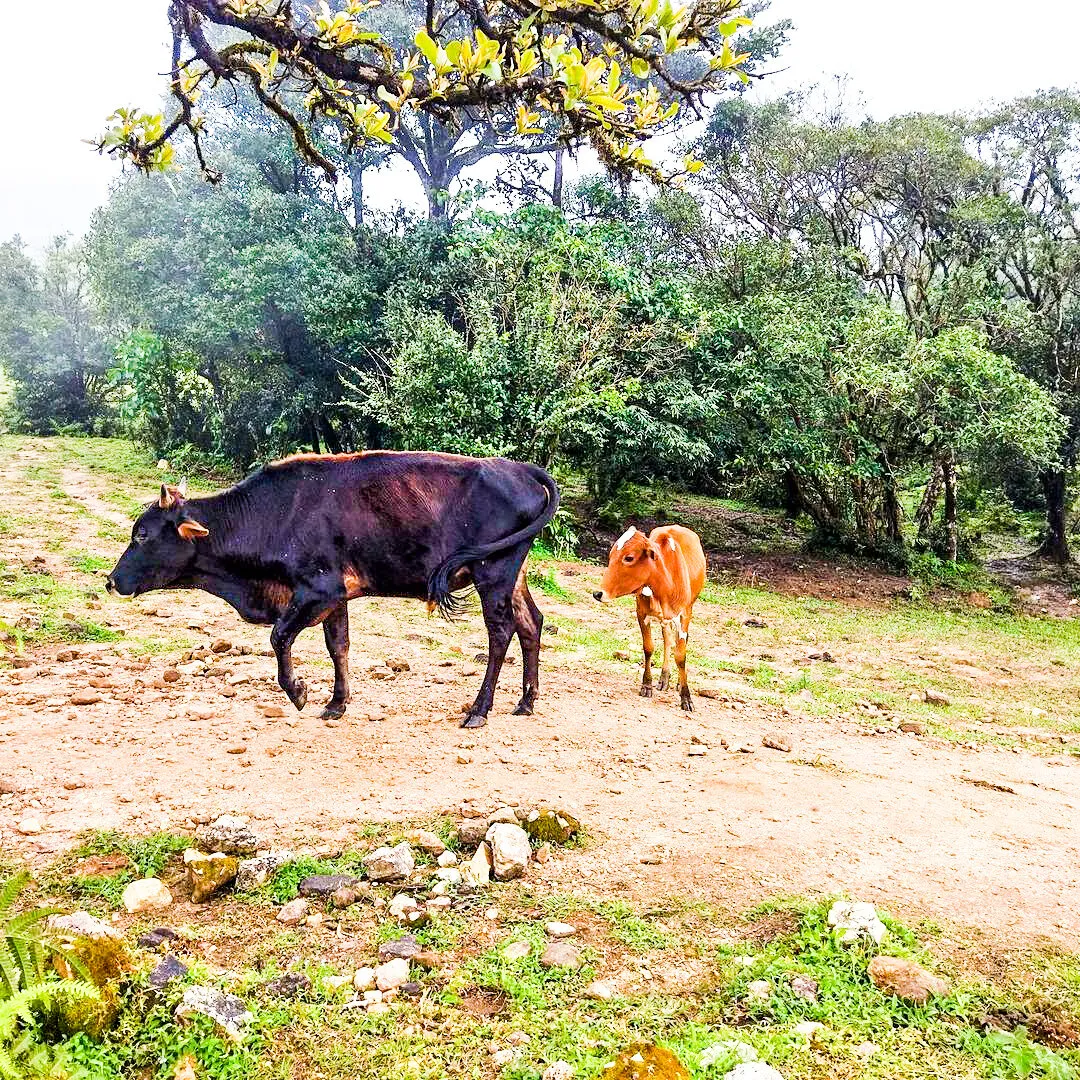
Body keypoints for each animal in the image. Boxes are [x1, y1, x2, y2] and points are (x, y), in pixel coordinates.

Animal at [105, 451, 559, 729]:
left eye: (142, 535)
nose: (111, 581)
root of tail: (521, 470)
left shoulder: (317, 590)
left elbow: (279, 636)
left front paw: (299, 692)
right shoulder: (337, 596)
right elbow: (337, 646)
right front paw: (336, 703)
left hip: (493, 574)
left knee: (501, 633)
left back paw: (479, 710)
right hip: (512, 576)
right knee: (531, 623)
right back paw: (526, 702)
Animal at [592, 525, 706, 711]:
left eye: (629, 558)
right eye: (610, 555)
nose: (598, 593)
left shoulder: (683, 616)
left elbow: (680, 656)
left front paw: (686, 696)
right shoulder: (641, 613)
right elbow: (648, 648)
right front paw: (647, 685)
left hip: (689, 610)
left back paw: (676, 683)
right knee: (667, 639)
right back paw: (664, 678)